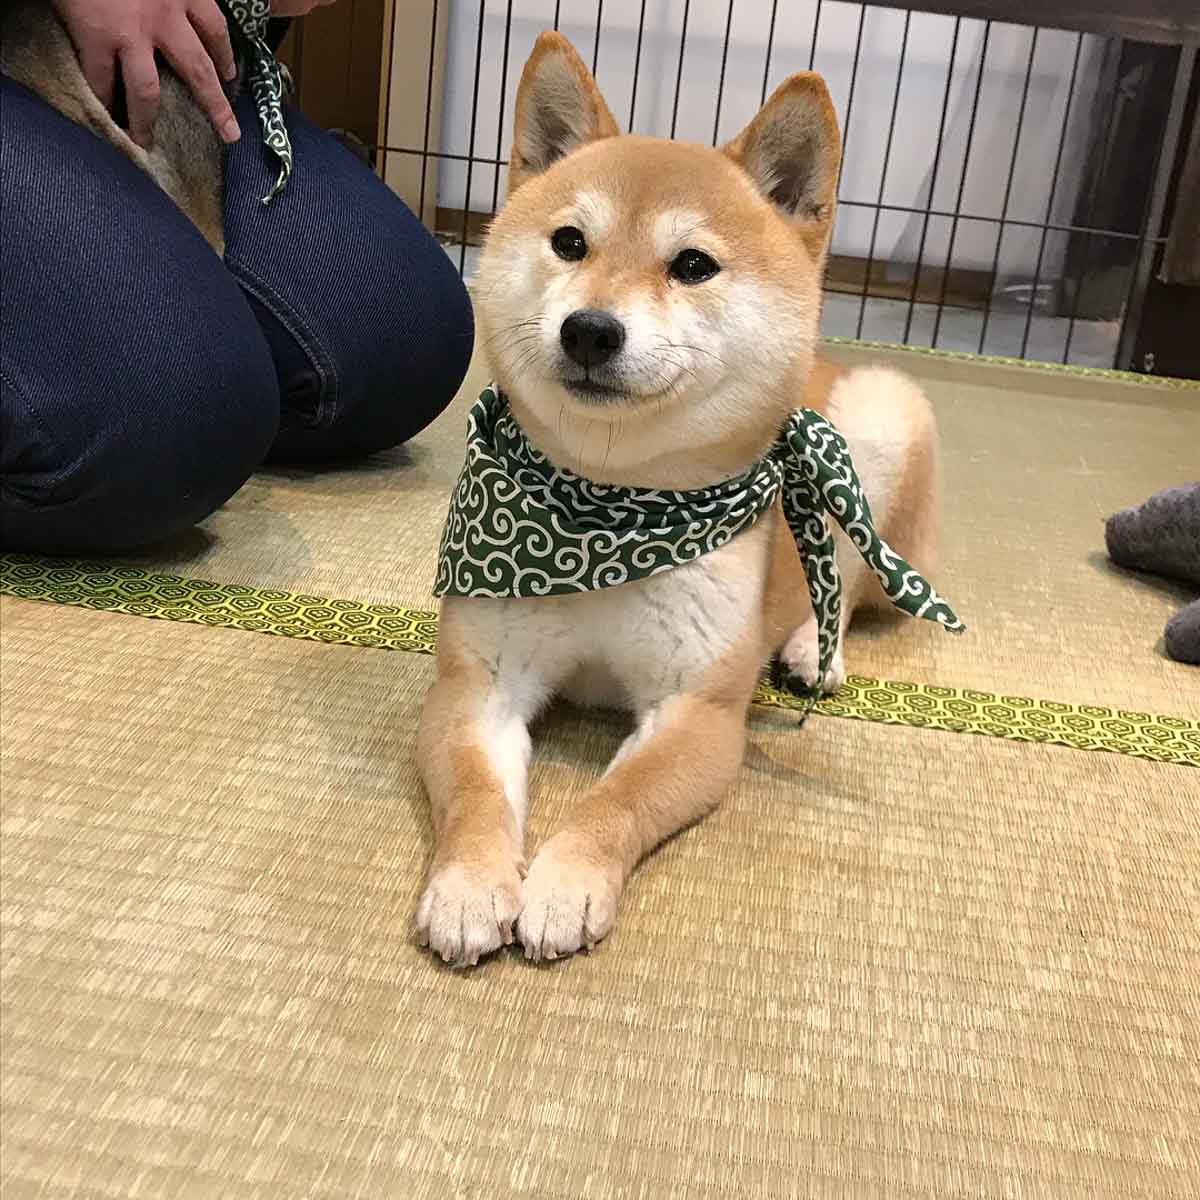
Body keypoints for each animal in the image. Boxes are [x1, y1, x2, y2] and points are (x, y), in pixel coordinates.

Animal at [417, 30, 940, 964]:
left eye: (693, 265)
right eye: (569, 243)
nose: (590, 330)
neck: (610, 509)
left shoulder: (696, 711)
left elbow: (616, 802)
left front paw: (565, 882)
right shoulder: (477, 685)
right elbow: (477, 793)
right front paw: (472, 883)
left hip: (882, 421)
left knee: (851, 586)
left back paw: (814, 649)